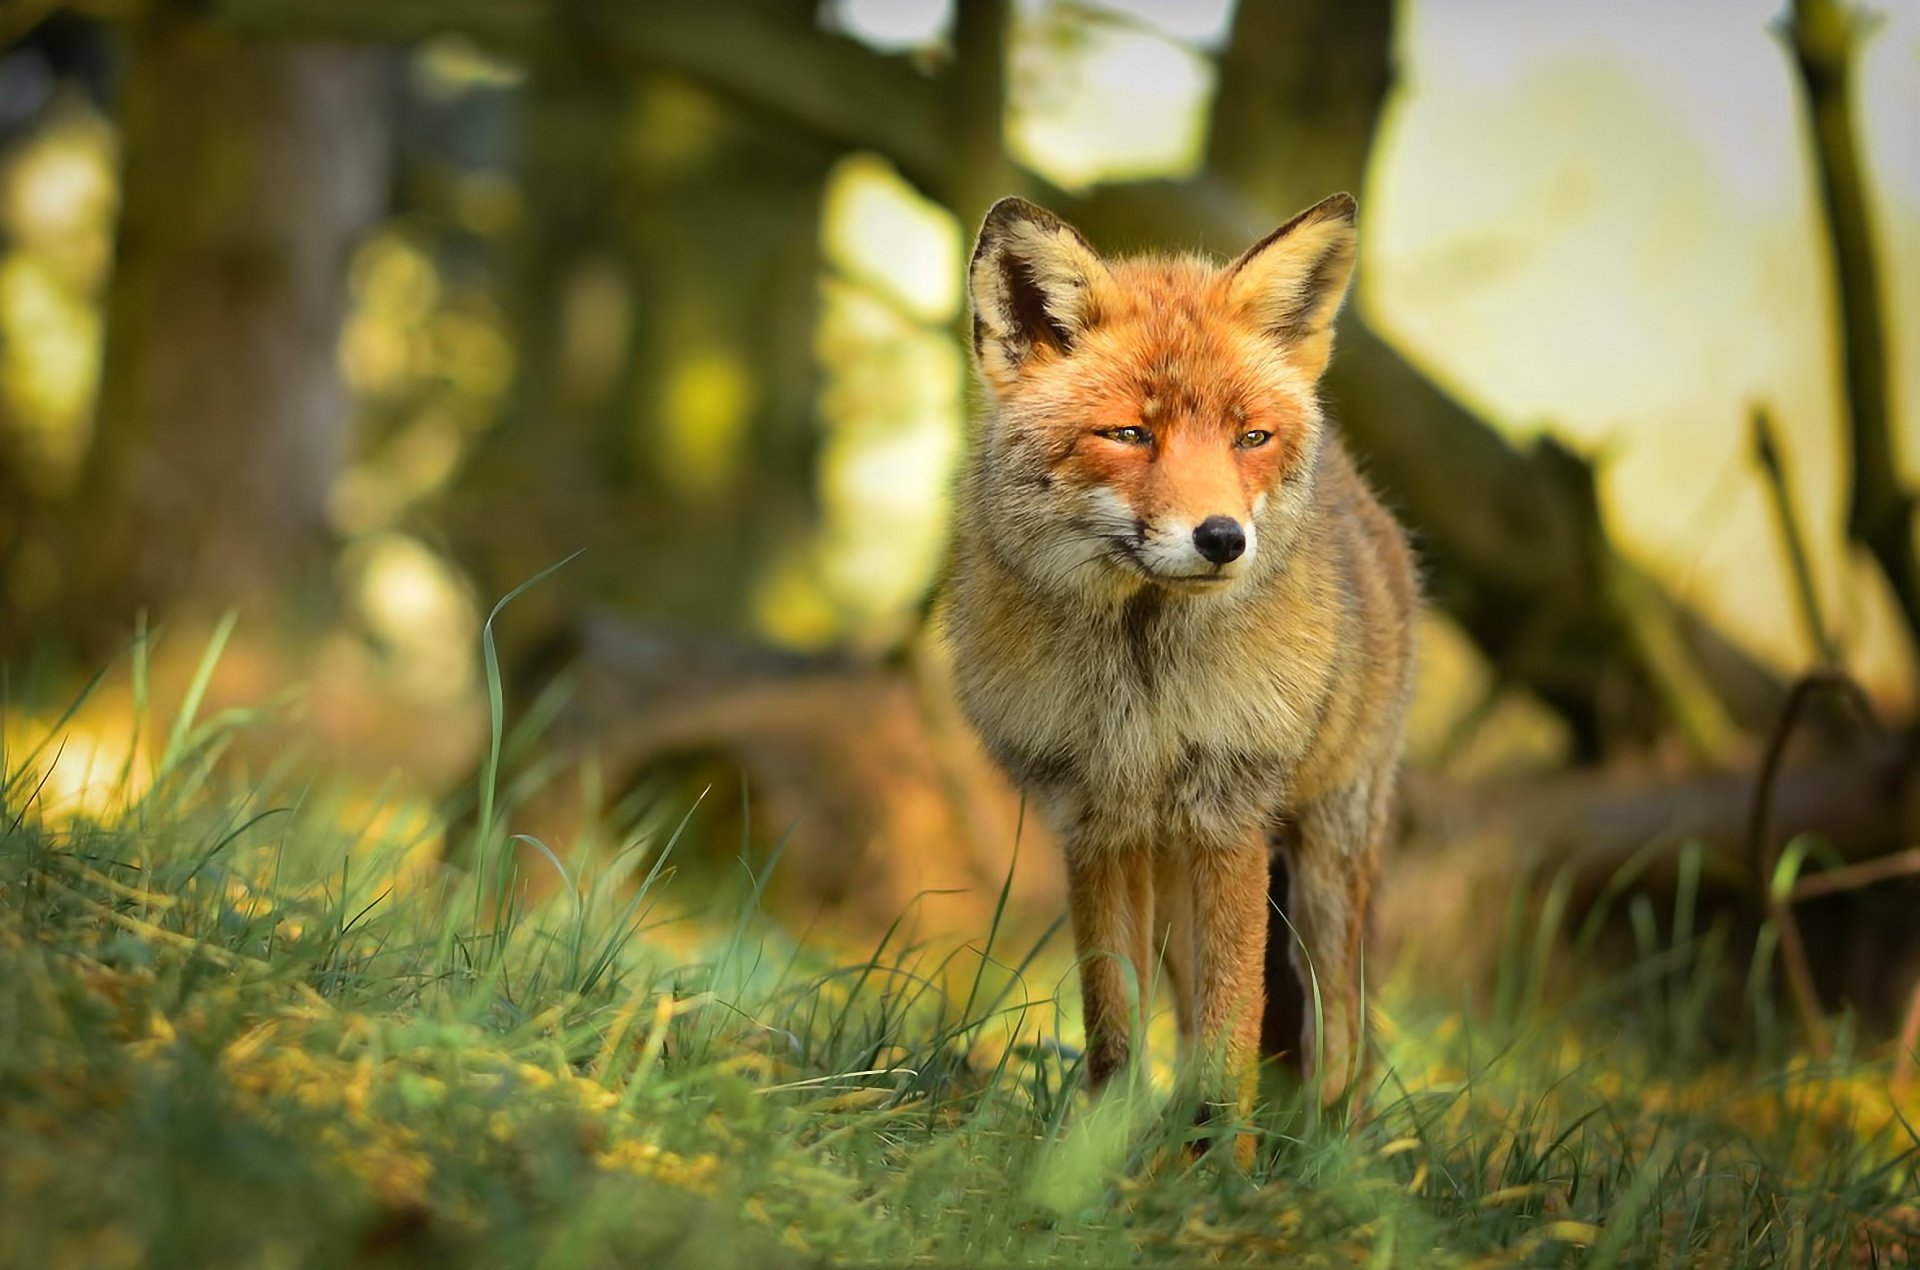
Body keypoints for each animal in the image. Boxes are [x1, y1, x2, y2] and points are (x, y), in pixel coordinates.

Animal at [939, 192, 1417, 1151]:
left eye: (1250, 438)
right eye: (1129, 433)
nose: (1223, 538)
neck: (1140, 686)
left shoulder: (1230, 813)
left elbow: (1238, 1027)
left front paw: (1225, 1167)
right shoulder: (1095, 821)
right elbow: (1115, 1025)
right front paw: (1100, 1155)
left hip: (1325, 867)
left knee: (1340, 1036)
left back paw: (1327, 1158)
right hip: (1174, 877)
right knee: (1196, 1016)